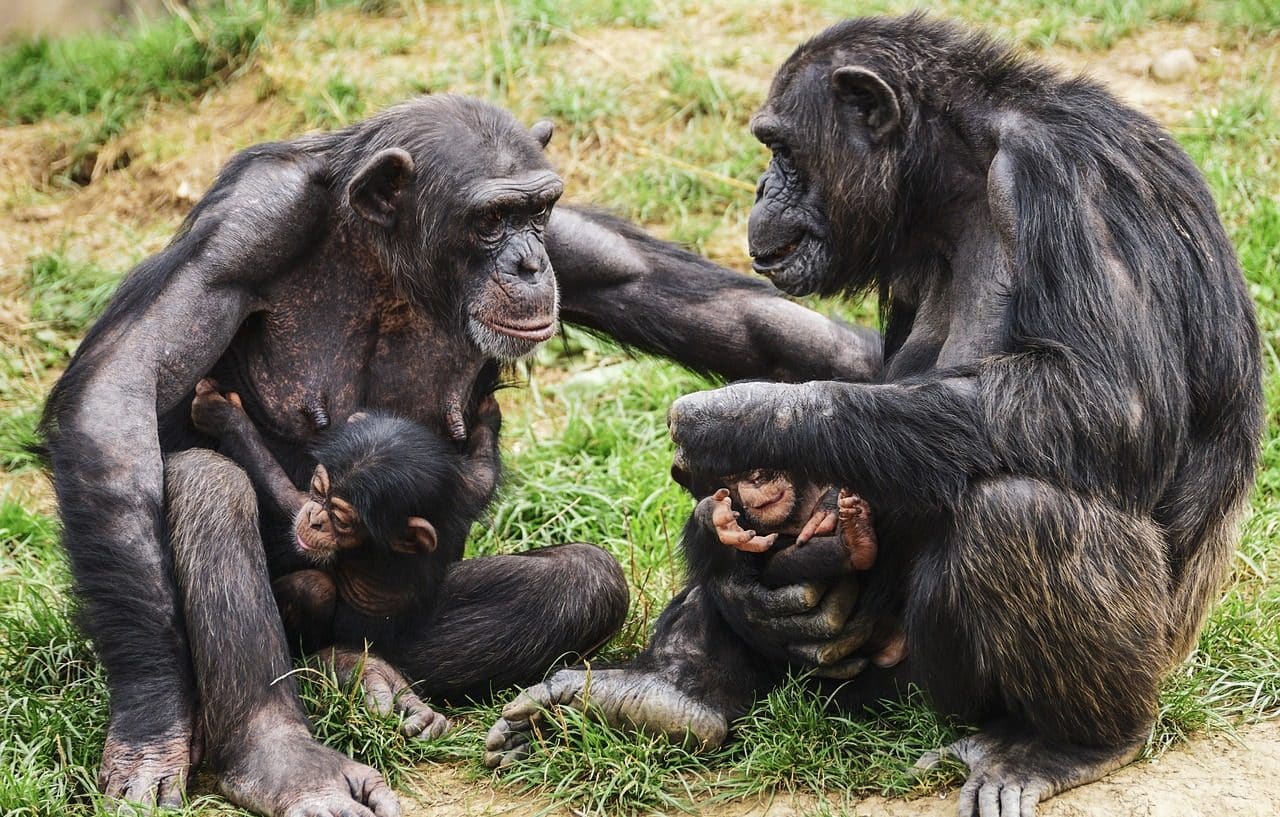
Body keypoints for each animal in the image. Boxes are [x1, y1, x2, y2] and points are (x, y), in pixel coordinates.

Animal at [40, 90, 880, 817]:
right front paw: (152, 719)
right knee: (206, 484)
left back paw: (364, 677)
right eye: (489, 219)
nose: (527, 264)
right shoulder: (247, 224)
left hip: (396, 623)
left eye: (535, 210)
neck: (384, 254)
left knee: (582, 581)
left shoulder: (573, 241)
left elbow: (741, 320)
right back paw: (283, 758)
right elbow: (120, 389)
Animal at [483, 14, 1264, 817]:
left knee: (1020, 509)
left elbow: (1111, 398)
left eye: (781, 148)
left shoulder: (1072, 181)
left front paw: (734, 422)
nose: (762, 184)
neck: (959, 178)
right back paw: (664, 693)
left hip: (941, 685)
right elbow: (865, 374)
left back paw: (1064, 742)